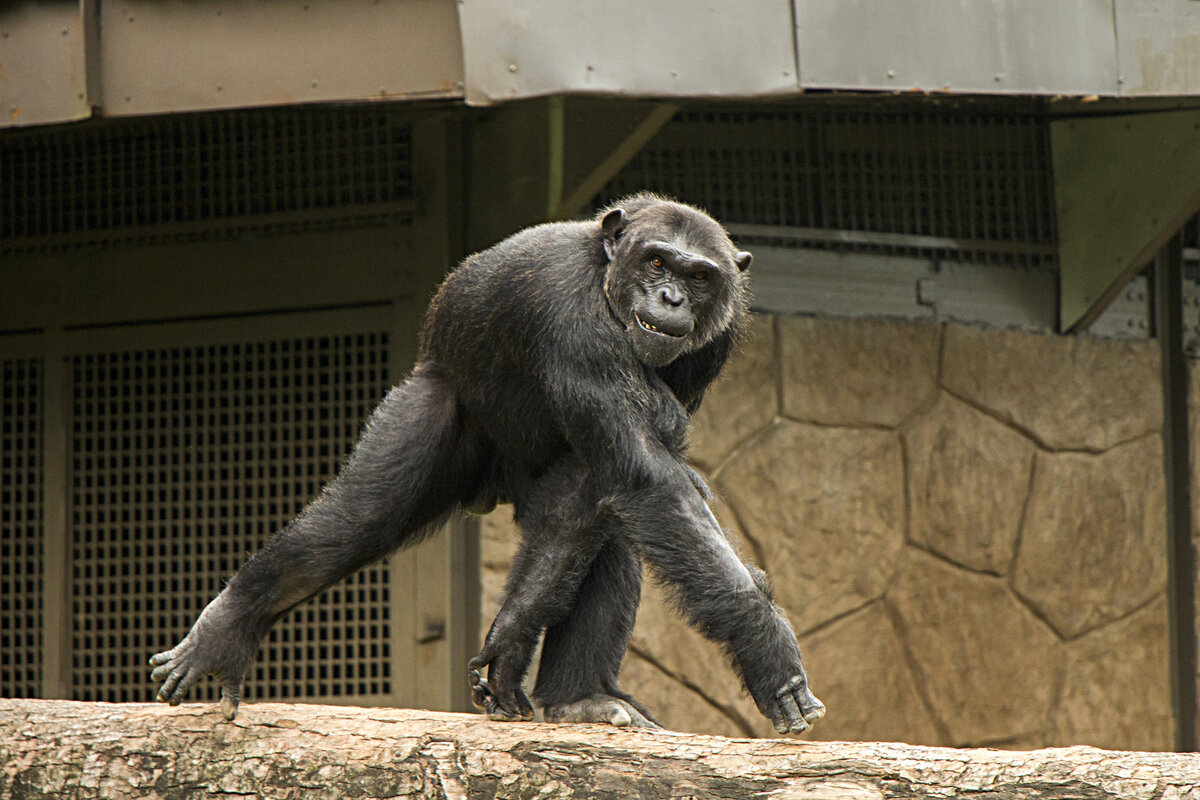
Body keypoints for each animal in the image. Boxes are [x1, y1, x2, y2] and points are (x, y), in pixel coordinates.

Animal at [150, 191, 825, 734]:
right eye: (657, 261)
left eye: (700, 276)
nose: (673, 296)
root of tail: (494, 484)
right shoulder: (573, 320)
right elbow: (650, 479)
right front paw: (766, 645)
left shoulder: (712, 349)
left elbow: (617, 481)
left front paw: (509, 642)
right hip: (434, 405)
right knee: (355, 522)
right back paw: (226, 627)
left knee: (601, 529)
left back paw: (578, 698)